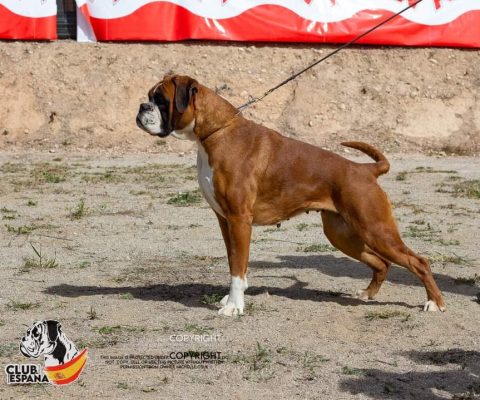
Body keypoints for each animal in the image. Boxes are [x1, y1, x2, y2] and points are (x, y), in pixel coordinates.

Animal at [136, 75, 446, 318]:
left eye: (160, 99)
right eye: (150, 97)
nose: (141, 107)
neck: (215, 132)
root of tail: (364, 170)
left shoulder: (239, 220)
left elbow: (238, 266)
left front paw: (234, 306)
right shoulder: (225, 222)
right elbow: (235, 262)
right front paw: (234, 296)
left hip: (375, 229)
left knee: (418, 262)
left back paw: (435, 303)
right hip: (343, 235)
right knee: (382, 263)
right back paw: (368, 294)